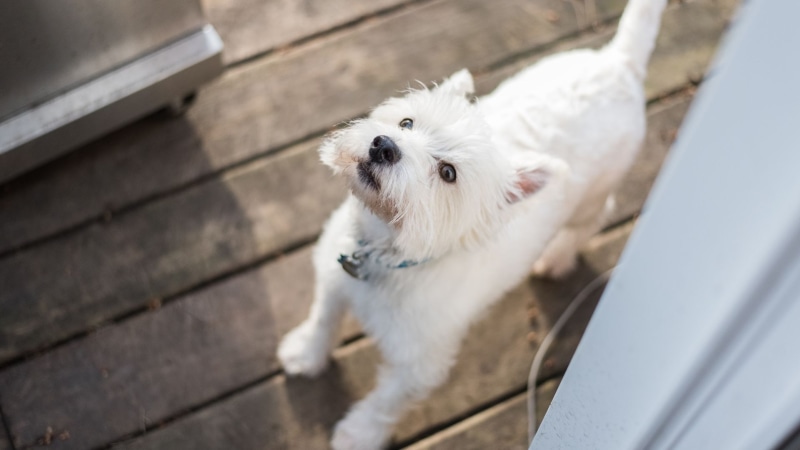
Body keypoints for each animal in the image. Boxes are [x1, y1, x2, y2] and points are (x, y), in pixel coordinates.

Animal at [278, 0, 664, 446]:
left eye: (448, 173)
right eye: (407, 123)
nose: (383, 145)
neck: (382, 253)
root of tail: (620, 61)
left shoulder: (420, 363)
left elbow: (385, 402)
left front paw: (357, 435)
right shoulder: (333, 277)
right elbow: (323, 319)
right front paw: (304, 354)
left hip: (593, 197)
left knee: (596, 215)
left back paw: (555, 259)